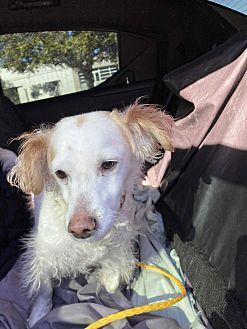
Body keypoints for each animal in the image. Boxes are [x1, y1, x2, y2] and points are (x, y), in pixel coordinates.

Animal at [7, 102, 174, 326]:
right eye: (60, 173)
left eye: (109, 164)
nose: (80, 228)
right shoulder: (43, 253)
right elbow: (44, 289)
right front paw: (39, 315)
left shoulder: (120, 245)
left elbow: (113, 273)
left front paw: (109, 285)